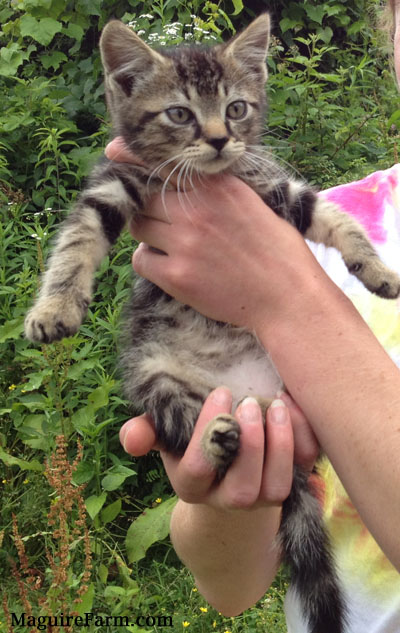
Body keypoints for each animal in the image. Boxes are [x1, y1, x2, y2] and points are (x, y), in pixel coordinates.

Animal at [24, 14, 400, 632]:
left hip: (298, 395)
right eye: (179, 114)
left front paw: (377, 269)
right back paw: (220, 436)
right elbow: (77, 240)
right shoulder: (114, 183)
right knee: (184, 421)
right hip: (155, 375)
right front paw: (53, 310)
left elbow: (329, 213)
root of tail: (255, 399)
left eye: (237, 108)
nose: (222, 138)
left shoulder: (274, 188)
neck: (208, 178)